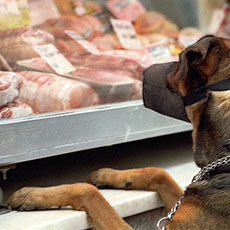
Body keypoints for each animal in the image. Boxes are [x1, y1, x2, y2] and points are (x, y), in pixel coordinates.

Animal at [7, 35, 230, 229]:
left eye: (176, 62)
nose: (142, 72)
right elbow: (159, 172)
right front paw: (110, 175)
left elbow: (90, 193)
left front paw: (29, 194)